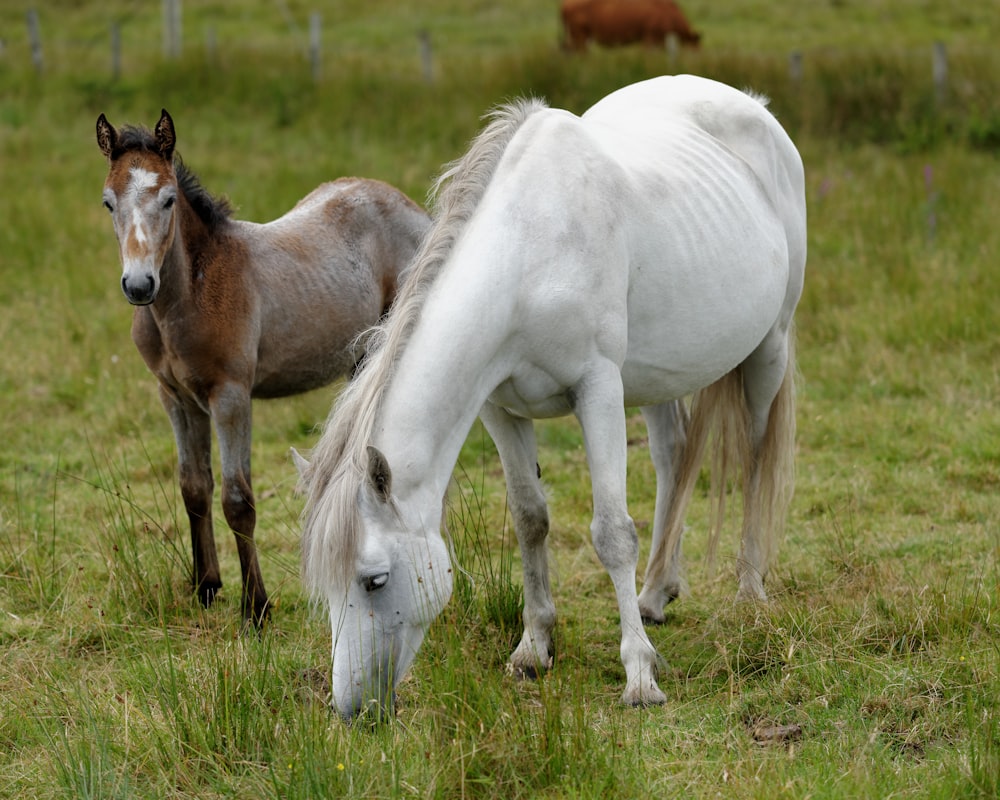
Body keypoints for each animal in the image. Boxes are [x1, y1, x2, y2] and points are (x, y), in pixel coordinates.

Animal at [296, 75, 804, 720]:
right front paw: (534, 647)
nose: (350, 708)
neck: (528, 252)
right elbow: (530, 519)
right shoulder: (501, 410)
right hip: (657, 375)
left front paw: (639, 675)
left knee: (758, 461)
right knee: (673, 457)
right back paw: (655, 593)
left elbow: (612, 532)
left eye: (374, 581)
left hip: (769, 348)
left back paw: (748, 592)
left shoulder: (599, 390)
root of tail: (754, 107)